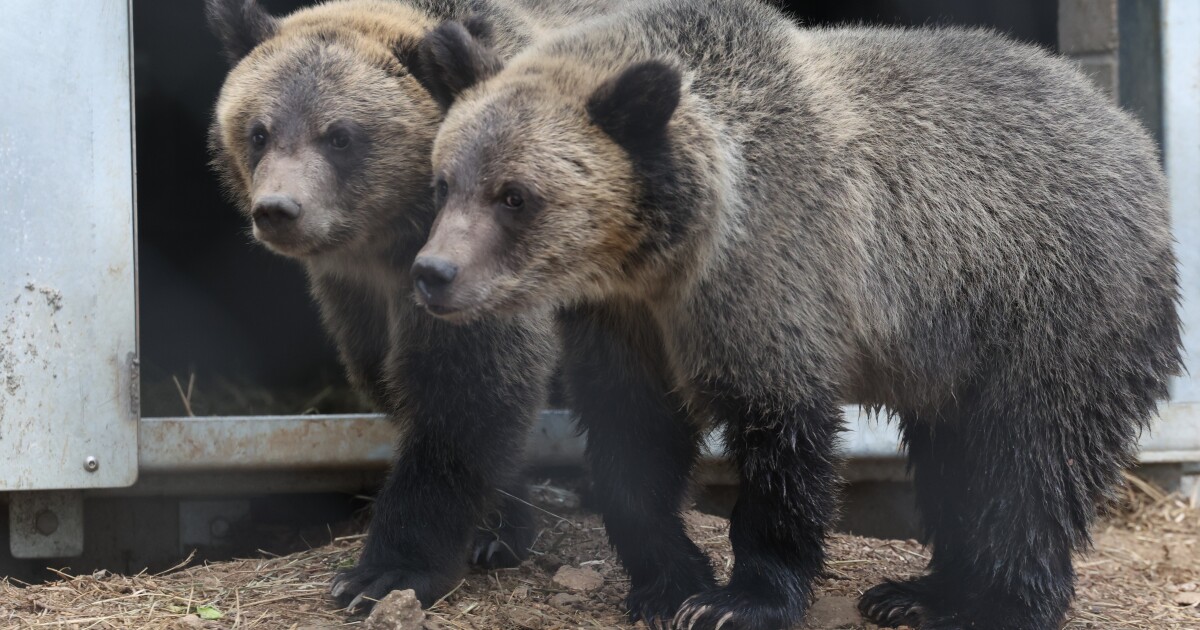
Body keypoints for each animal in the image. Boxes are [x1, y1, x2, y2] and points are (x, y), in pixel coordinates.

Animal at [204, 0, 660, 614]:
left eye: (340, 135)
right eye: (259, 130)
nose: (278, 209)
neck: (388, 241)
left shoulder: (480, 269)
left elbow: (465, 394)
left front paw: (383, 572)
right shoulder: (358, 297)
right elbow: (391, 379)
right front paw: (497, 524)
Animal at [408, 1, 1183, 628]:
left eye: (515, 196)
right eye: (445, 183)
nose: (433, 273)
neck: (667, 254)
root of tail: (1129, 131)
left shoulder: (773, 279)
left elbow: (781, 442)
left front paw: (737, 601)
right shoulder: (623, 322)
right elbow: (633, 442)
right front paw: (668, 584)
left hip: (1047, 306)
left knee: (1027, 461)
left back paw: (995, 605)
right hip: (956, 355)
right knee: (955, 460)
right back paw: (916, 592)